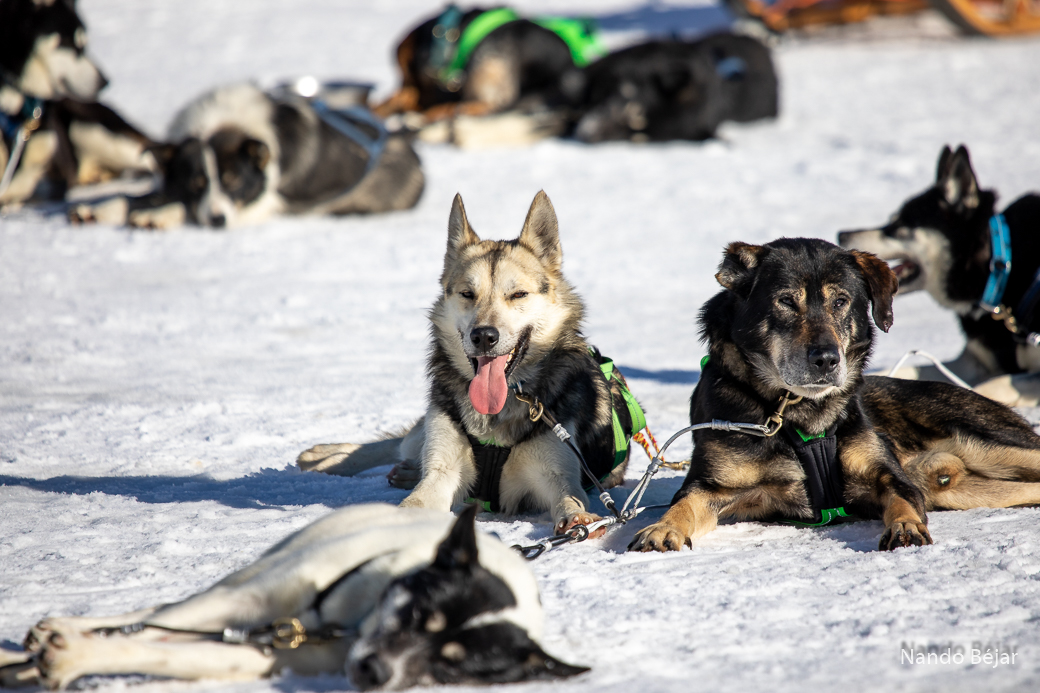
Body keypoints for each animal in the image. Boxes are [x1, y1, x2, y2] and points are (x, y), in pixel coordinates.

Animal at [0, 503, 587, 690]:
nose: (374, 673)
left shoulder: (267, 653)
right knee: (154, 613)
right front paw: (68, 651)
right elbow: (145, 632)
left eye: (451, 667)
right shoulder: (250, 603)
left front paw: (72, 658)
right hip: (248, 582)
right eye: (421, 613)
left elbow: (161, 652)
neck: (351, 624)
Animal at [72, 83, 426, 228]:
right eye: (196, 183)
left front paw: (159, 216)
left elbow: (183, 209)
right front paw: (101, 208)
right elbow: (139, 196)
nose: (217, 221)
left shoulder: (261, 204)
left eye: (233, 181)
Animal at [298, 191, 641, 535]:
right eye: (467, 293)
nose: (484, 336)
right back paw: (327, 457)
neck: (498, 413)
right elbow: (416, 499)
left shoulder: (557, 474)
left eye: (518, 294)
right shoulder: (442, 472)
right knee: (402, 442)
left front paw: (577, 518)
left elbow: (569, 499)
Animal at [628, 238, 1040, 554]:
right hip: (965, 489)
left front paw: (905, 526)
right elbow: (684, 504)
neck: (797, 412)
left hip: (991, 445)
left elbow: (901, 501)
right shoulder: (712, 486)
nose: (826, 358)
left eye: (840, 301)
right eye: (785, 301)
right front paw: (663, 528)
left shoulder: (889, 476)